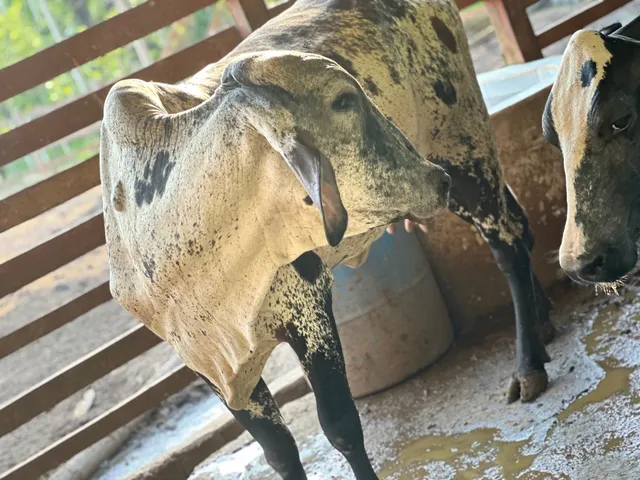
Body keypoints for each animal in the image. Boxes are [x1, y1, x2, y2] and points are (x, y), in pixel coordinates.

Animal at [102, 0, 554, 478]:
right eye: (343, 99)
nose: (434, 179)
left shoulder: (309, 308)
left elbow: (341, 426)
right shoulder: (208, 363)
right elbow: (279, 451)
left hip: (463, 143)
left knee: (506, 244)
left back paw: (528, 367)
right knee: (519, 225)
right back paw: (543, 322)